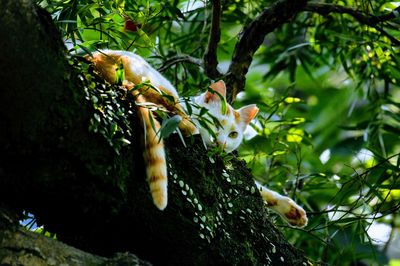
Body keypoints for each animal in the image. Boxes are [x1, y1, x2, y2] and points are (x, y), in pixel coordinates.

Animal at [86, 49, 306, 227]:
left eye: (233, 134)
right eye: (215, 124)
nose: (221, 143)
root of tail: (96, 56)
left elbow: (258, 189)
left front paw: (291, 210)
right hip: (158, 83)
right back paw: (187, 125)